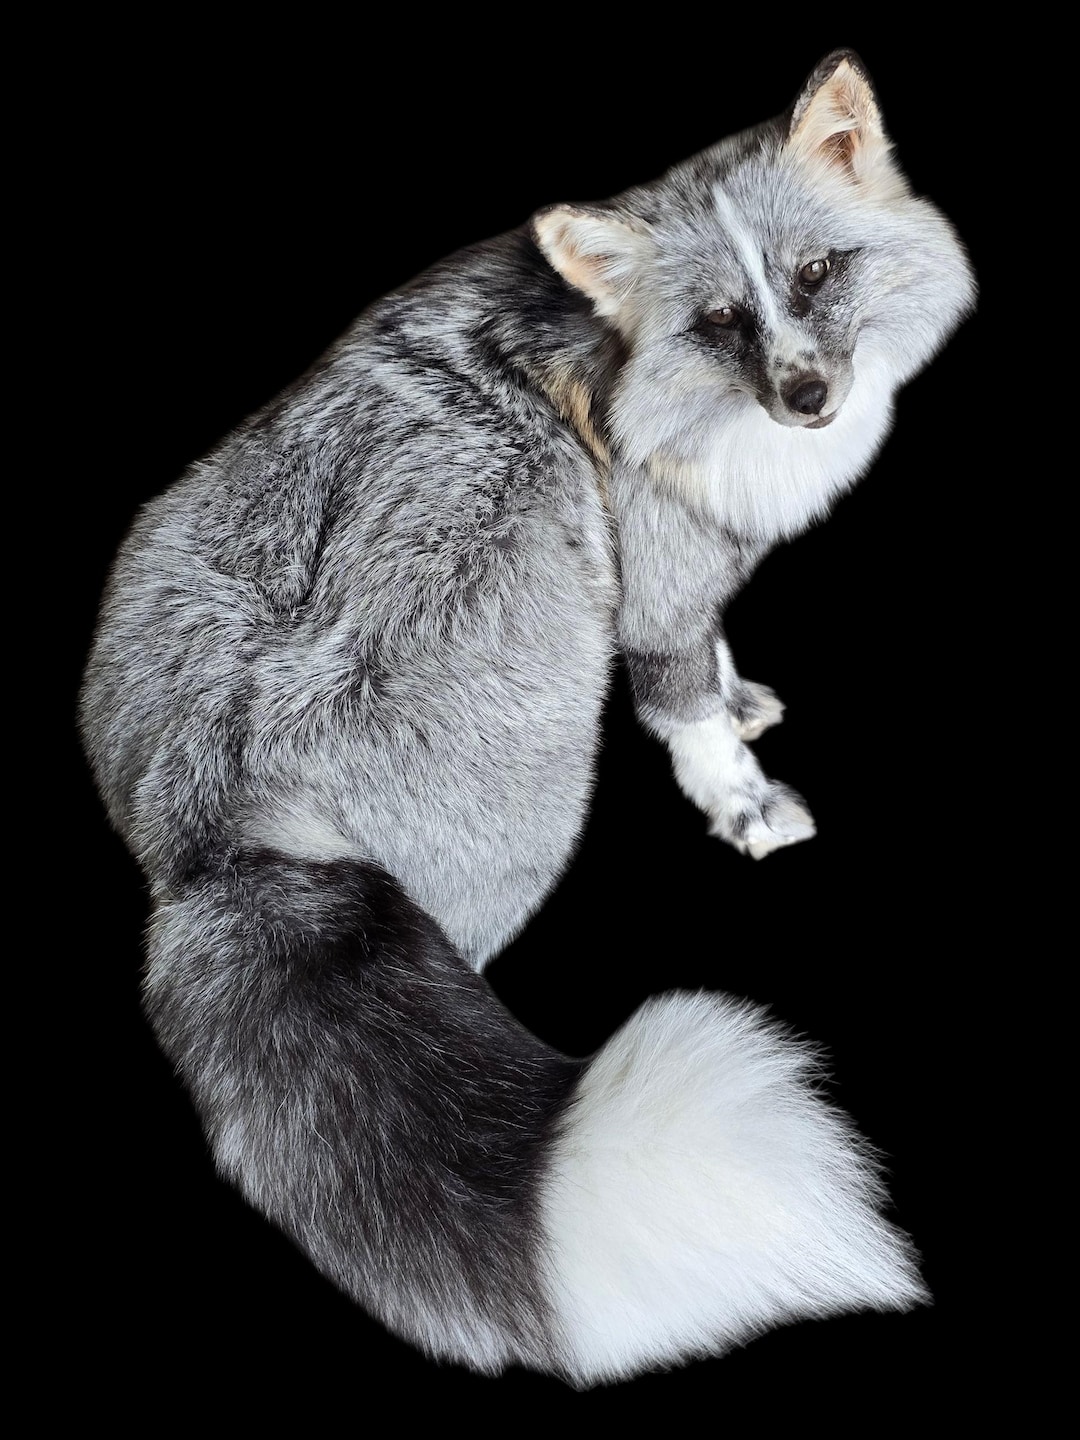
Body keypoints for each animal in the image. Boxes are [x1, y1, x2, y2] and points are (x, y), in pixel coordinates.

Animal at [80, 49, 974, 1384]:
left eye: (818, 273)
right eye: (719, 322)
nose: (807, 396)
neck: (636, 376)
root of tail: (217, 821)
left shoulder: (676, 578)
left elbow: (705, 668)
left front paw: (742, 698)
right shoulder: (650, 566)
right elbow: (684, 707)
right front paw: (741, 800)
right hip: (535, 716)